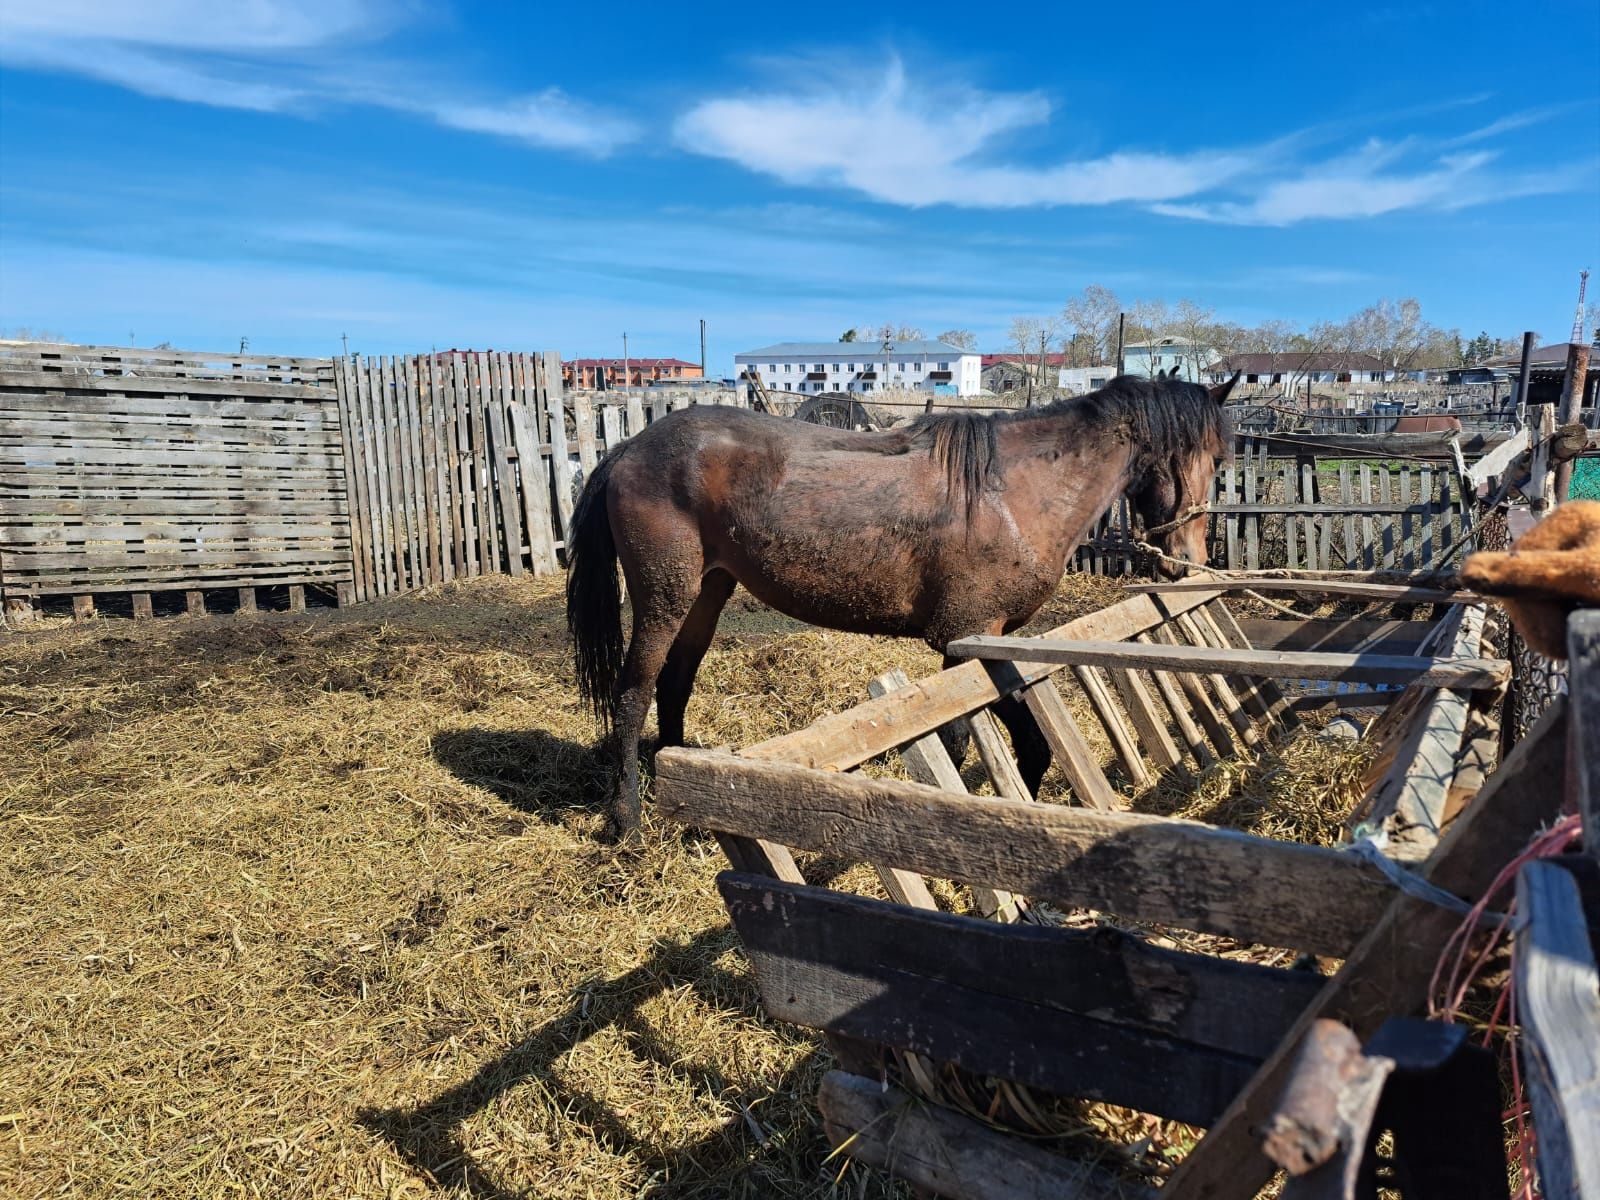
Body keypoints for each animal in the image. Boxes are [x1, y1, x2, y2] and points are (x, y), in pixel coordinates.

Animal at [569, 374, 1241, 838]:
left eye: (1221, 460)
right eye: (1198, 457)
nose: (1185, 559)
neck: (1016, 491)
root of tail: (627, 450)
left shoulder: (980, 644)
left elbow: (992, 740)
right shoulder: (968, 636)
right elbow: (996, 742)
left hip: (708, 591)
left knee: (674, 684)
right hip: (665, 594)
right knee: (633, 694)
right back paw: (628, 819)